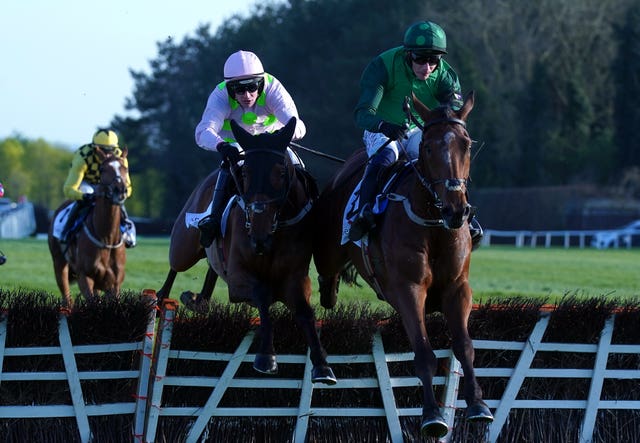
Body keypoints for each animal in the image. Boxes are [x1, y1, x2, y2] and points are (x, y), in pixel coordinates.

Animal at [47, 149, 129, 308]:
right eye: (103, 169)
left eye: (125, 169)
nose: (120, 190)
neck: (105, 237)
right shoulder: (85, 277)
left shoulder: (114, 284)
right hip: (59, 263)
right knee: (67, 298)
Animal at [204, 117, 336, 386]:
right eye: (244, 172)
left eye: (281, 172)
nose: (259, 236)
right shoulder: (236, 280)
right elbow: (262, 293)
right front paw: (266, 356)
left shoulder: (296, 278)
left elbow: (305, 312)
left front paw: (321, 364)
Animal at [312, 91, 492, 438]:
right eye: (428, 147)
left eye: (466, 144)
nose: (456, 210)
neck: (434, 225)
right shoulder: (408, 288)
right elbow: (423, 352)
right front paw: (432, 415)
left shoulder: (457, 287)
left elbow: (464, 345)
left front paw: (478, 405)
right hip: (328, 249)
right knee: (326, 277)